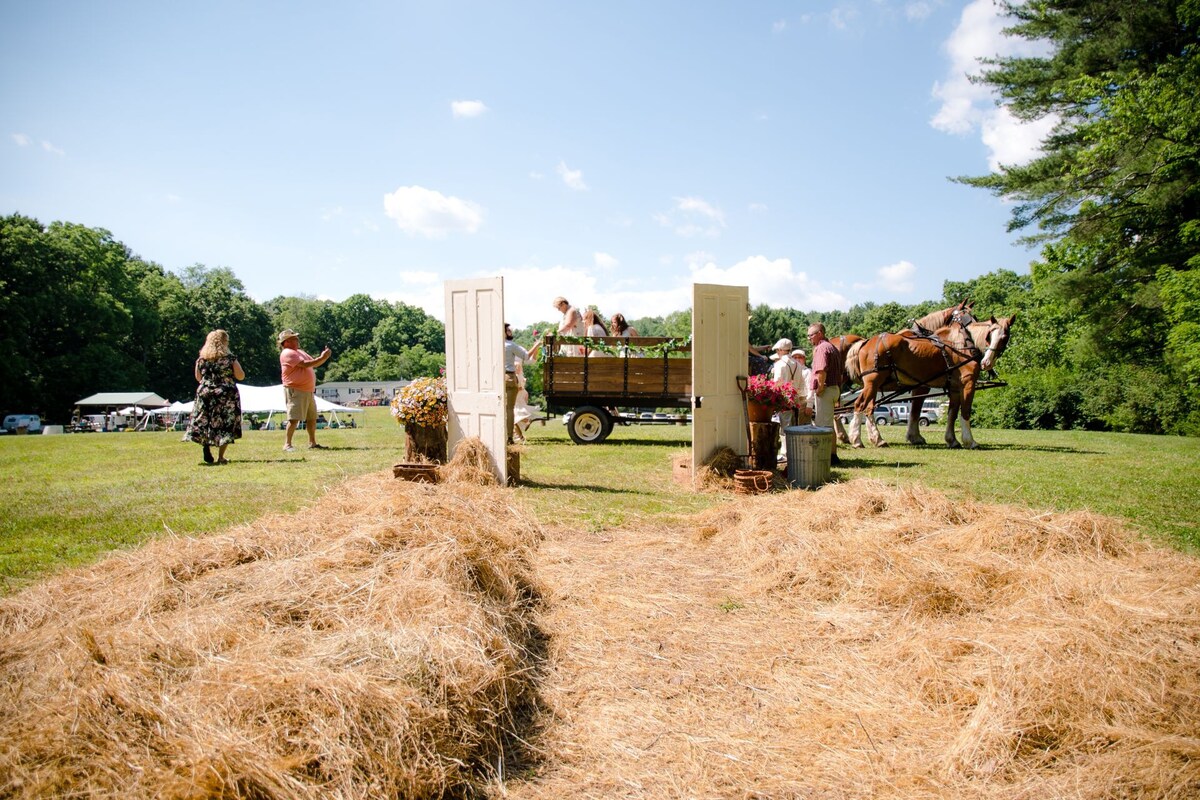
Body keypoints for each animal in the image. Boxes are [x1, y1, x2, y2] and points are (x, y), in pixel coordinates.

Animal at [844, 314, 1012, 450]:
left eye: (1004, 337)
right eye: (990, 335)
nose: (986, 362)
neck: (962, 344)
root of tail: (866, 342)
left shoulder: (954, 388)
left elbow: (951, 414)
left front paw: (952, 440)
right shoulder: (967, 383)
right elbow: (965, 412)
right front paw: (970, 441)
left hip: (873, 385)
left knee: (868, 408)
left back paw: (875, 439)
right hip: (873, 382)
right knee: (860, 405)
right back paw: (857, 440)